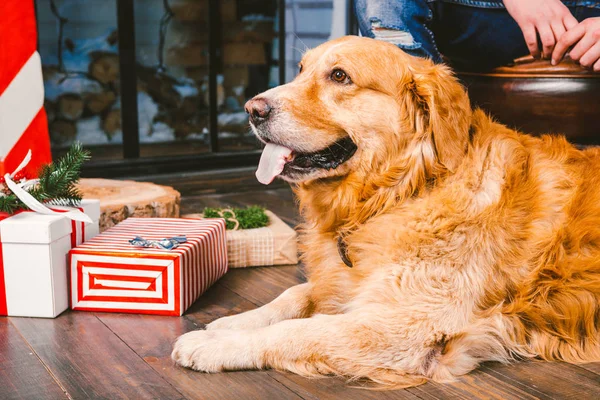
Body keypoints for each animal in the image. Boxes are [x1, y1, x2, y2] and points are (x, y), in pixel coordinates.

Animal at [171, 36, 600, 388]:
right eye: (301, 69)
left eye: (340, 76)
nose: (251, 109)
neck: (399, 193)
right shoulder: (348, 282)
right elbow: (294, 294)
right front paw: (230, 324)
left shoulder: (408, 325)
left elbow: (299, 331)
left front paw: (214, 345)